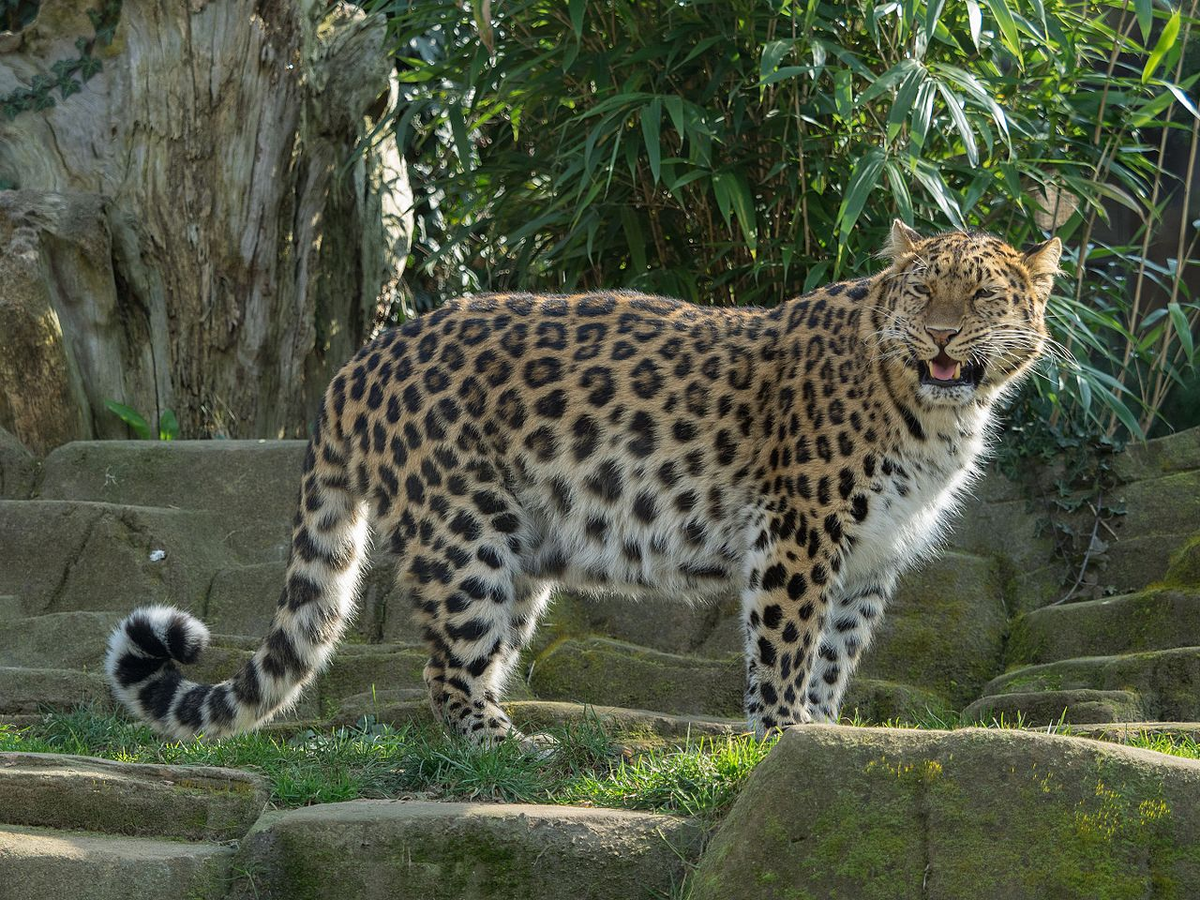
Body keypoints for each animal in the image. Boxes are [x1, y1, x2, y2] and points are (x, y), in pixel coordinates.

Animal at [103, 222, 1060, 744]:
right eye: (923, 292)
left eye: (981, 300)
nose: (941, 338)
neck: (935, 416)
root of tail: (359, 362)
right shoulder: (799, 532)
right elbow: (787, 644)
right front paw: (783, 733)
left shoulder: (870, 555)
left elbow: (836, 650)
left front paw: (820, 736)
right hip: (465, 534)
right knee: (445, 670)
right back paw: (509, 749)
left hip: (521, 550)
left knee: (478, 658)